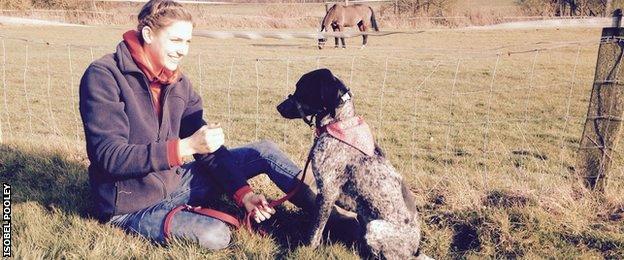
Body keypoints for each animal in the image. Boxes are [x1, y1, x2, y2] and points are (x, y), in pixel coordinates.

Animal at [276, 68, 426, 258]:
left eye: (302, 88)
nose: (278, 107)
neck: (337, 123)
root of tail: (414, 250)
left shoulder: (327, 193)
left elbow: (315, 231)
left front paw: (305, 250)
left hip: (374, 227)